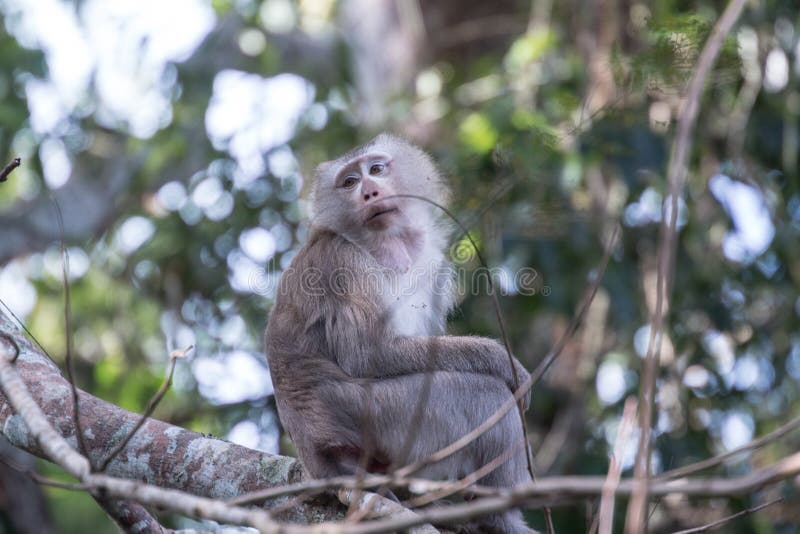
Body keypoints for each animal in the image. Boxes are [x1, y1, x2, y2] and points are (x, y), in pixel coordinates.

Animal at [266, 135, 536, 534]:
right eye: (350, 182)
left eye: (376, 169)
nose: (369, 192)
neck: (387, 246)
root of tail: (318, 456)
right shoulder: (344, 262)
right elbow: (369, 354)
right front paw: (501, 361)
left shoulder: (434, 263)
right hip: (384, 414)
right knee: (485, 396)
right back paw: (499, 517)